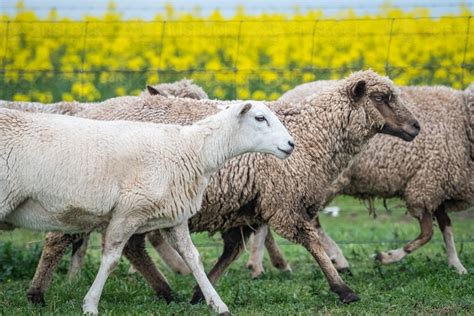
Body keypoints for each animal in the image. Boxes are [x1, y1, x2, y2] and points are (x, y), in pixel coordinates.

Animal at [0, 102, 294, 316]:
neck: (190, 150)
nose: (291, 144)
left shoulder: (174, 216)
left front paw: (217, 304)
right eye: (260, 118)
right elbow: (111, 258)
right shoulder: (128, 211)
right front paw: (90, 305)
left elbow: (193, 258)